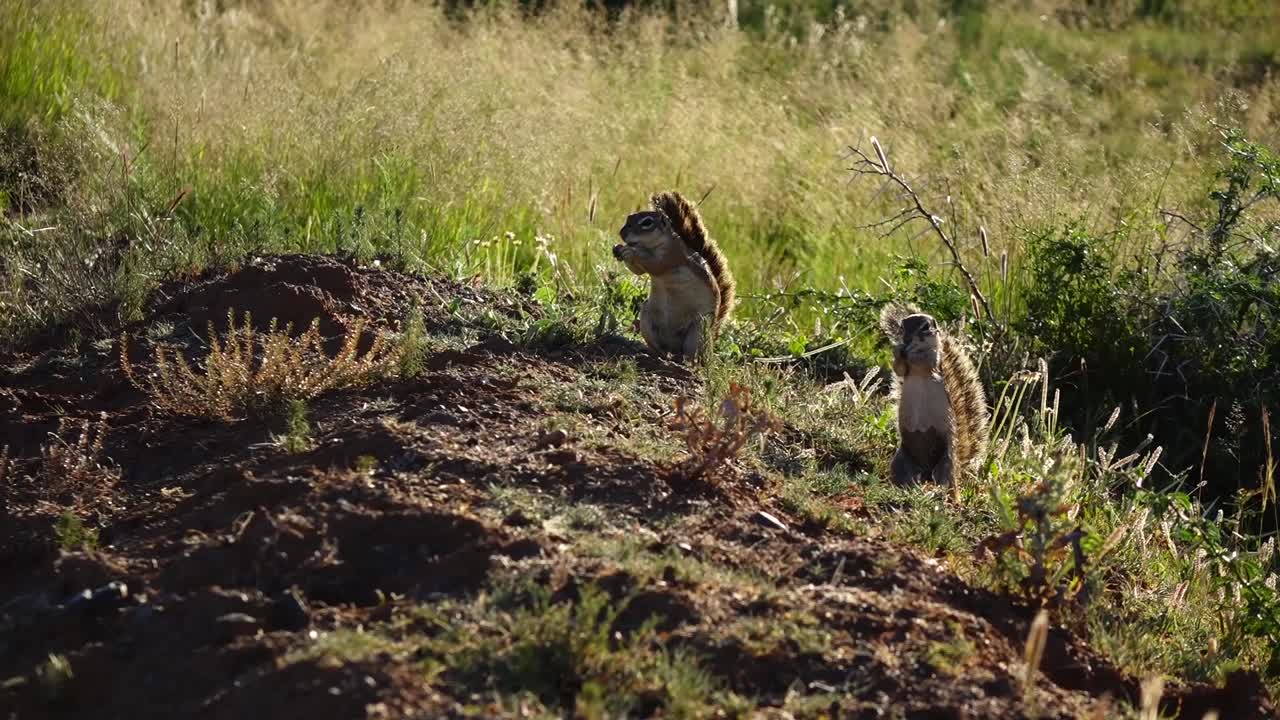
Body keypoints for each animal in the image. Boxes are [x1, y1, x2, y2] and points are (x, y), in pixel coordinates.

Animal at [613, 191, 736, 362]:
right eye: (629, 217)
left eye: (647, 223)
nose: (622, 234)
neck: (651, 246)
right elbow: (638, 271)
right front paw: (619, 248)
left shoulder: (670, 256)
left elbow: (654, 264)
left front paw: (630, 251)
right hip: (646, 318)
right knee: (662, 350)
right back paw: (650, 352)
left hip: (698, 331)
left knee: (692, 355)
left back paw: (689, 362)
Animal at [879, 302, 989, 489]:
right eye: (902, 326)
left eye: (925, 327)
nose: (906, 341)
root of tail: (925, 471)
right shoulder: (905, 368)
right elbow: (899, 368)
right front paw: (897, 350)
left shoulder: (932, 359)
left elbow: (923, 358)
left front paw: (911, 353)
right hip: (901, 460)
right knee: (905, 476)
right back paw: (906, 487)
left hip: (946, 461)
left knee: (946, 482)